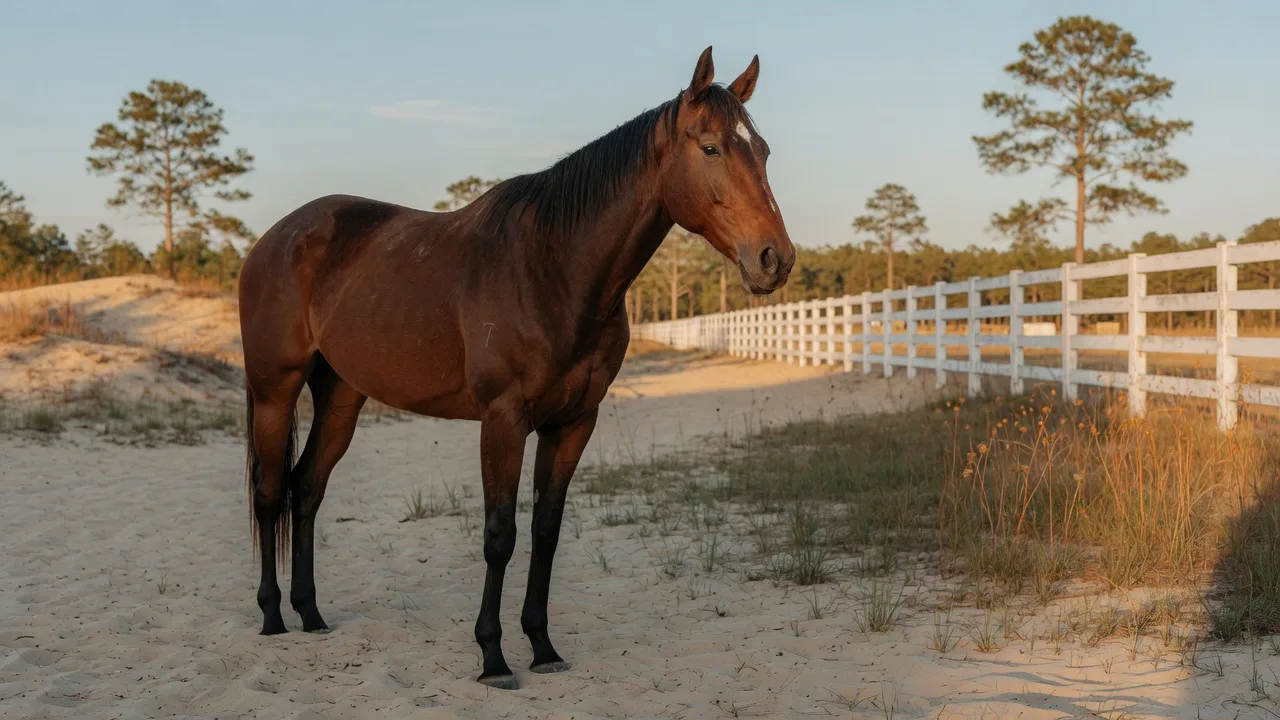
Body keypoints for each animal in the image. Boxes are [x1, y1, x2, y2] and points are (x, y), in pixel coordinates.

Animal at [237, 46, 795, 690]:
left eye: (763, 150)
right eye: (709, 148)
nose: (775, 259)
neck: (552, 267)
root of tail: (274, 239)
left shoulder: (573, 422)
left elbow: (545, 532)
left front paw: (543, 646)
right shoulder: (503, 421)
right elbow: (499, 535)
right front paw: (493, 657)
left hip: (342, 396)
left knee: (307, 489)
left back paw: (311, 613)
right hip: (275, 390)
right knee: (270, 493)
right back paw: (272, 617)